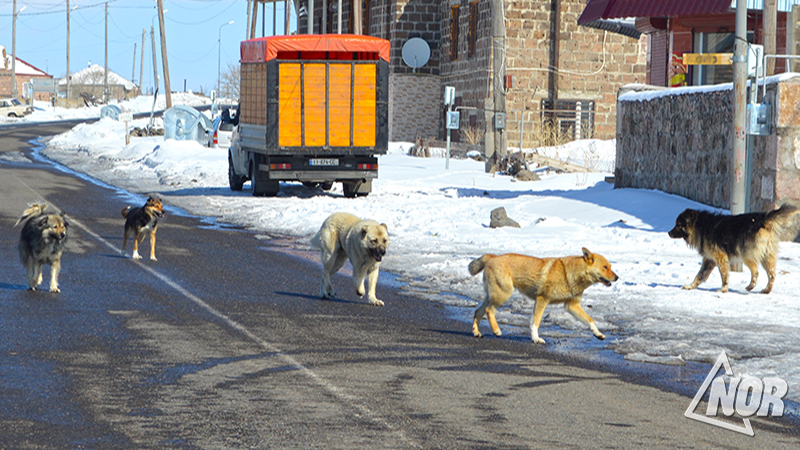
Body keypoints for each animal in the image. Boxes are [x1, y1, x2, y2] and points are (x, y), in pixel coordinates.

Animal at [468, 250, 620, 344]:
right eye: (605, 267)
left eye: (610, 266)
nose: (617, 277)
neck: (569, 274)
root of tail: (492, 256)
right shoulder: (542, 299)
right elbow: (536, 321)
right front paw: (536, 339)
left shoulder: (572, 306)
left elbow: (590, 320)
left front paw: (598, 334)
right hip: (503, 293)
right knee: (489, 310)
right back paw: (496, 330)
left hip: (493, 295)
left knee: (478, 311)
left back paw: (477, 332)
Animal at [668, 205, 800, 296]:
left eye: (678, 225)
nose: (669, 233)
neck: (700, 226)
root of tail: (763, 219)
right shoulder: (709, 260)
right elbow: (700, 275)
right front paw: (691, 286)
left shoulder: (720, 257)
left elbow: (724, 275)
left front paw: (723, 289)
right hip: (767, 256)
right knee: (772, 274)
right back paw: (766, 290)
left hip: (746, 255)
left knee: (756, 272)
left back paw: (750, 286)